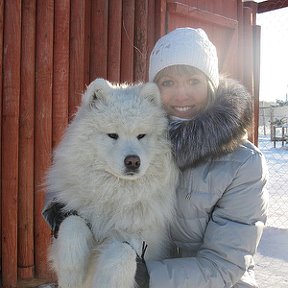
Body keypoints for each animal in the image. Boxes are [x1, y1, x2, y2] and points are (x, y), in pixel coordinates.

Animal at [45, 79, 178, 288]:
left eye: (141, 135)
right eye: (113, 135)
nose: (133, 161)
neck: (115, 192)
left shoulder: (140, 240)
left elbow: (122, 253)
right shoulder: (72, 214)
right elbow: (72, 224)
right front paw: (71, 273)